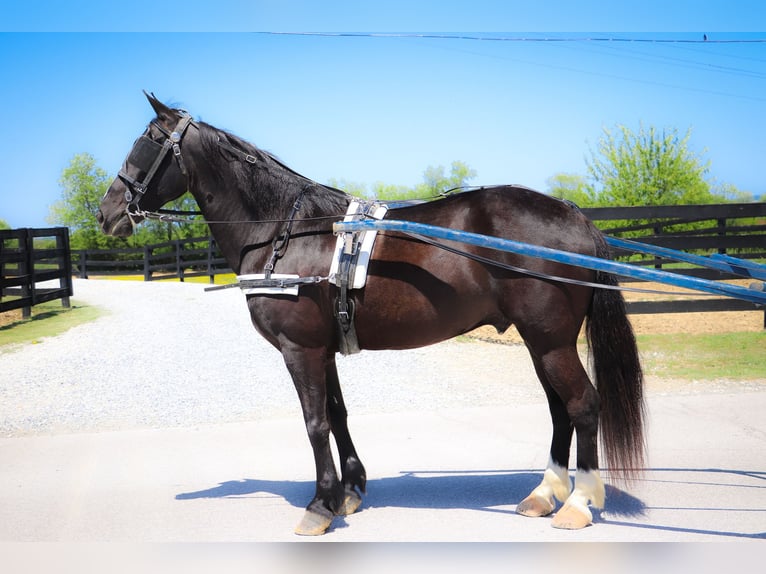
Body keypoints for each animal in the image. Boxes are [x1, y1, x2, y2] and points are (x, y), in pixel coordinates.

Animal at [99, 92, 644, 536]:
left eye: (147, 142)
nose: (107, 212)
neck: (286, 231)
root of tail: (574, 214)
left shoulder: (300, 349)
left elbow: (315, 422)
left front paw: (319, 506)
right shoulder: (324, 349)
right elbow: (337, 414)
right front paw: (349, 491)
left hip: (550, 340)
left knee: (583, 405)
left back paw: (578, 503)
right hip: (542, 342)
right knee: (559, 408)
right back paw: (544, 493)